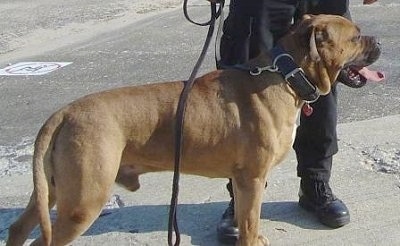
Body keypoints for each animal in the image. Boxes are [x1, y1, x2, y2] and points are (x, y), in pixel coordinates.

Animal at [6, 15, 382, 246]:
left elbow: (247, 219)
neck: (286, 74)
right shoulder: (252, 179)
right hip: (84, 199)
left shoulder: (245, 180)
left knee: (19, 227)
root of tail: (63, 112)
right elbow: (249, 222)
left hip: (54, 191)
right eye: (355, 37)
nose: (378, 41)